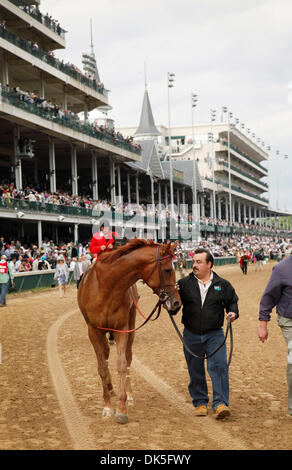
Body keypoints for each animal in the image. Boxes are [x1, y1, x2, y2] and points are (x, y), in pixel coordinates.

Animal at [77, 239, 180, 422]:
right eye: (168, 269)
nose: (176, 302)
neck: (106, 288)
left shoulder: (122, 329)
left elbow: (122, 364)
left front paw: (122, 408)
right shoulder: (94, 331)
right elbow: (102, 367)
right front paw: (107, 406)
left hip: (131, 328)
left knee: (128, 356)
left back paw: (129, 395)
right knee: (105, 356)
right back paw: (110, 387)